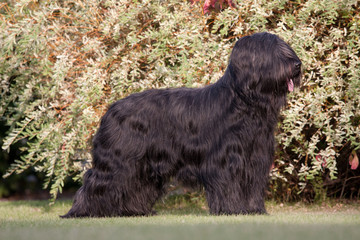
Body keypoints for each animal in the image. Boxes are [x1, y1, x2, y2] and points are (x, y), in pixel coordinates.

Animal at [61, 31, 300, 218]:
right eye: (273, 52)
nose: (297, 64)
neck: (243, 102)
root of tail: (111, 109)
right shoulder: (226, 158)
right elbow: (229, 184)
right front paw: (233, 210)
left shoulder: (254, 158)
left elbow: (252, 186)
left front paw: (252, 210)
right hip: (118, 158)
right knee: (97, 180)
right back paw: (82, 212)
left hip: (141, 163)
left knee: (135, 184)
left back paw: (133, 211)